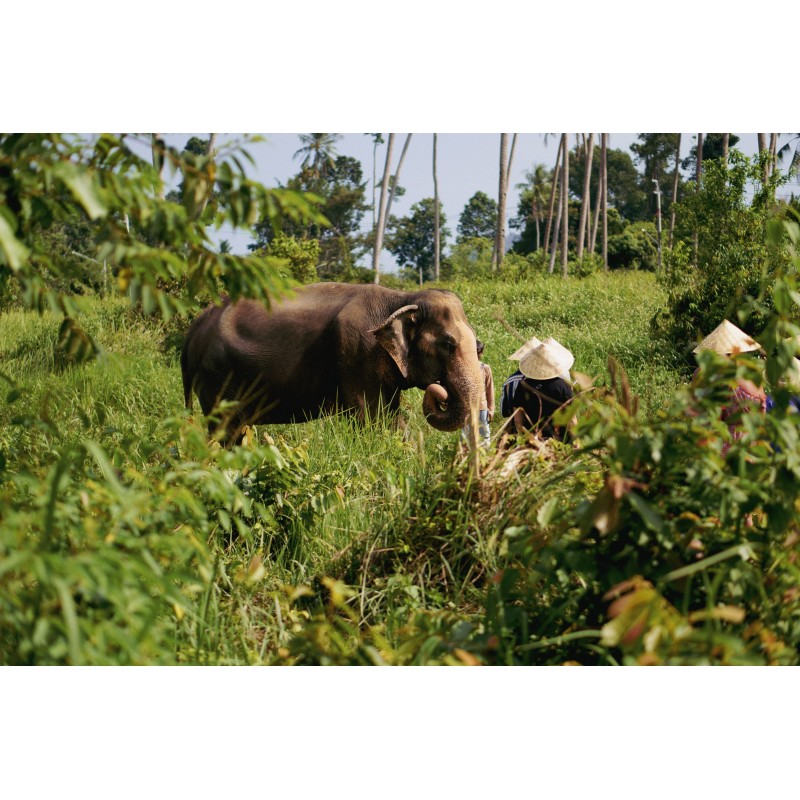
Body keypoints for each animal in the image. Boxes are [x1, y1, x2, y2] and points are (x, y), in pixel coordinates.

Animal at [181, 282, 482, 444]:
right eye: (448, 345)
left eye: (480, 347)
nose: (440, 391)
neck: (401, 297)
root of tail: (196, 324)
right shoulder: (358, 352)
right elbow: (370, 417)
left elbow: (392, 417)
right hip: (217, 376)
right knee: (227, 430)